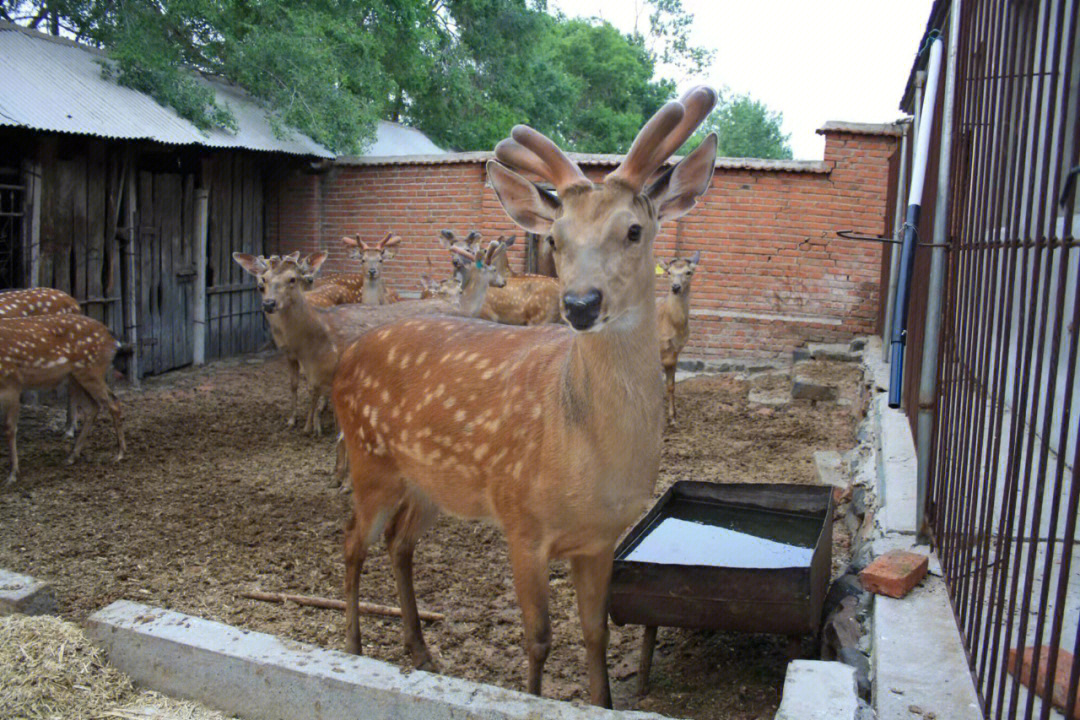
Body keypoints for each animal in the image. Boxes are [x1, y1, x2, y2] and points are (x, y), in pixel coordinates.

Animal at [0, 313, 125, 483]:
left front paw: (13, 474)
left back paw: (119, 454)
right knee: (94, 407)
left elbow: (9, 428)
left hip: (91, 370)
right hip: (76, 376)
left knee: (112, 403)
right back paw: (72, 456)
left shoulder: (12, 382)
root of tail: (113, 341)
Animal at [652, 252, 704, 425]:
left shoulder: (674, 354)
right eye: (669, 272)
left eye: (688, 272)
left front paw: (673, 417)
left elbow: (671, 385)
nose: (675, 287)